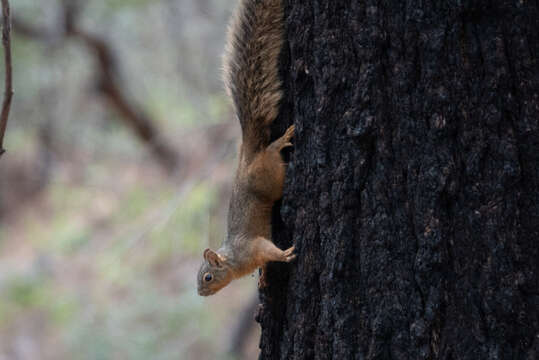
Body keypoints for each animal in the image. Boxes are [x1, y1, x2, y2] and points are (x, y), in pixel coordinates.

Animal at [198, 0, 298, 296]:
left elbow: (267, 249)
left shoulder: (252, 247)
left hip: (270, 178)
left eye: (208, 277)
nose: (201, 293)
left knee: (273, 156)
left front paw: (284, 254)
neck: (233, 260)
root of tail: (248, 156)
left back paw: (281, 141)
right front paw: (264, 277)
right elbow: (265, 262)